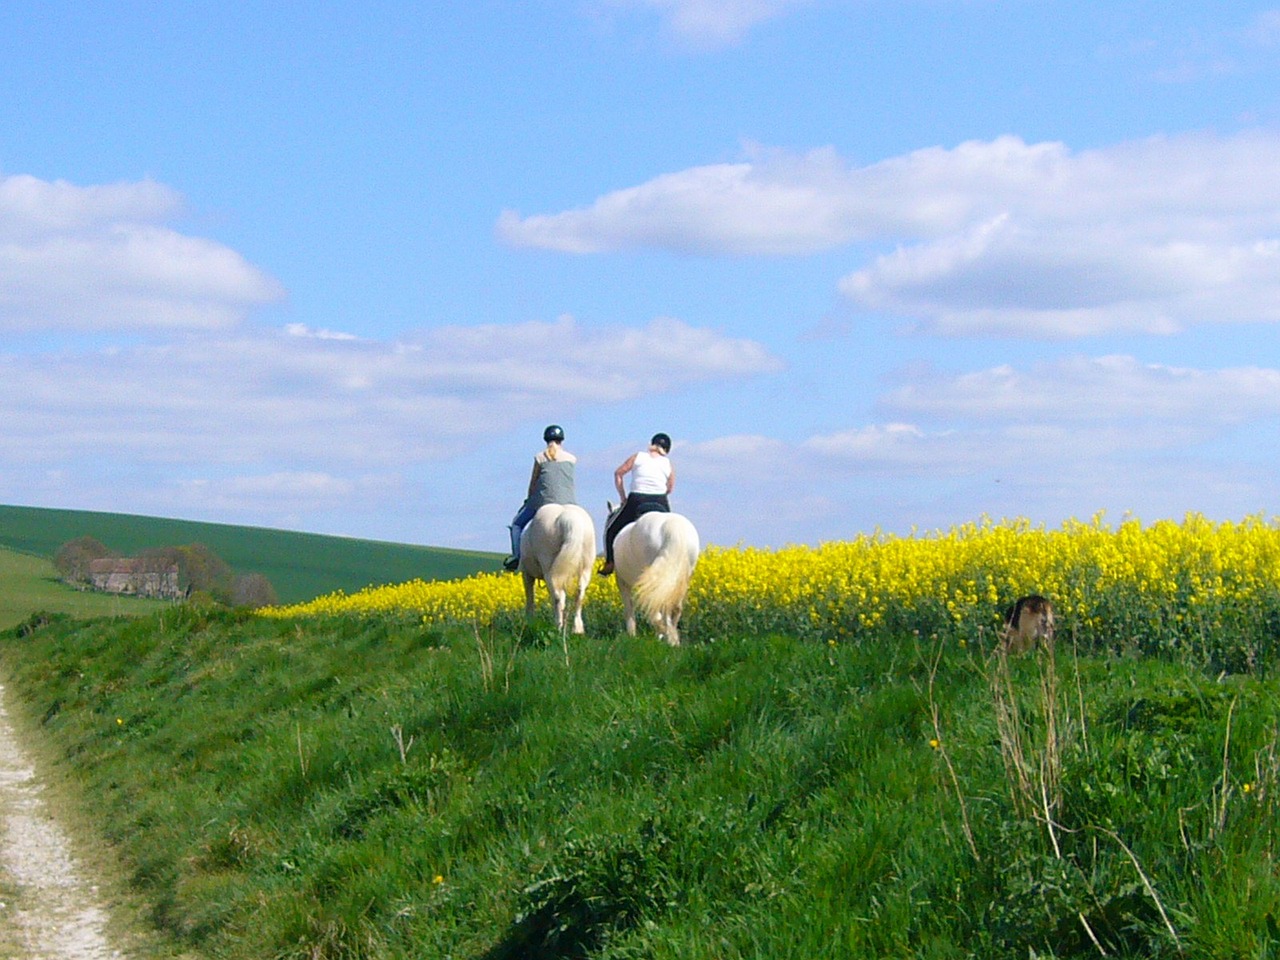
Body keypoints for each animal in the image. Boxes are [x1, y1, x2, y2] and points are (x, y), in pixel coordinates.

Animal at [517, 506, 596, 634]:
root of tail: (569, 519)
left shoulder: (526, 574)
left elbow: (530, 596)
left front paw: (529, 620)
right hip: (585, 570)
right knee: (579, 596)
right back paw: (577, 629)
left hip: (550, 571)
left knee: (559, 597)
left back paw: (558, 626)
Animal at [606, 504, 701, 647]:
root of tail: (674, 528)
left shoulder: (622, 582)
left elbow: (629, 608)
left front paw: (632, 635)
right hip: (682, 578)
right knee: (675, 608)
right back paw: (673, 639)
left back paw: (667, 635)